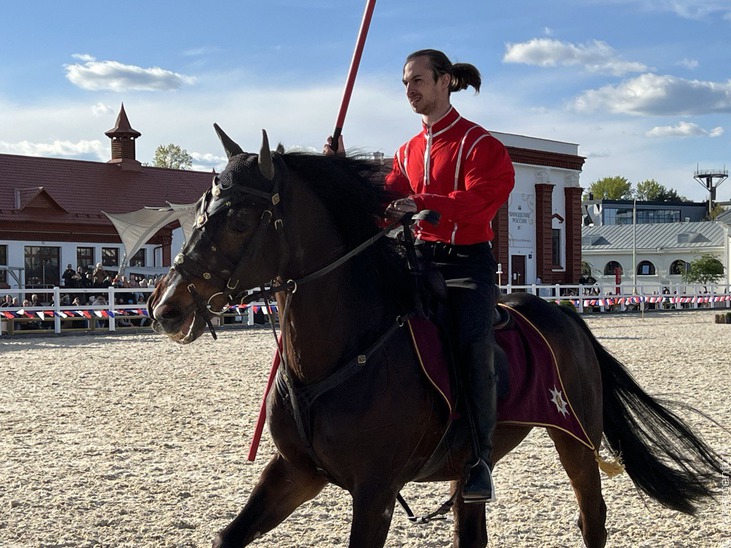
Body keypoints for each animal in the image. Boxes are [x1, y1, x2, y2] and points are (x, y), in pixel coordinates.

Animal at [149, 126, 728, 544]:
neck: (344, 354)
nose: (167, 306)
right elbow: (228, 537)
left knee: (593, 520)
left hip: (575, 437)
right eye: (199, 211)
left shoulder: (375, 491)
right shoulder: (295, 472)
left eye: (241, 218)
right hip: (474, 465)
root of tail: (563, 315)